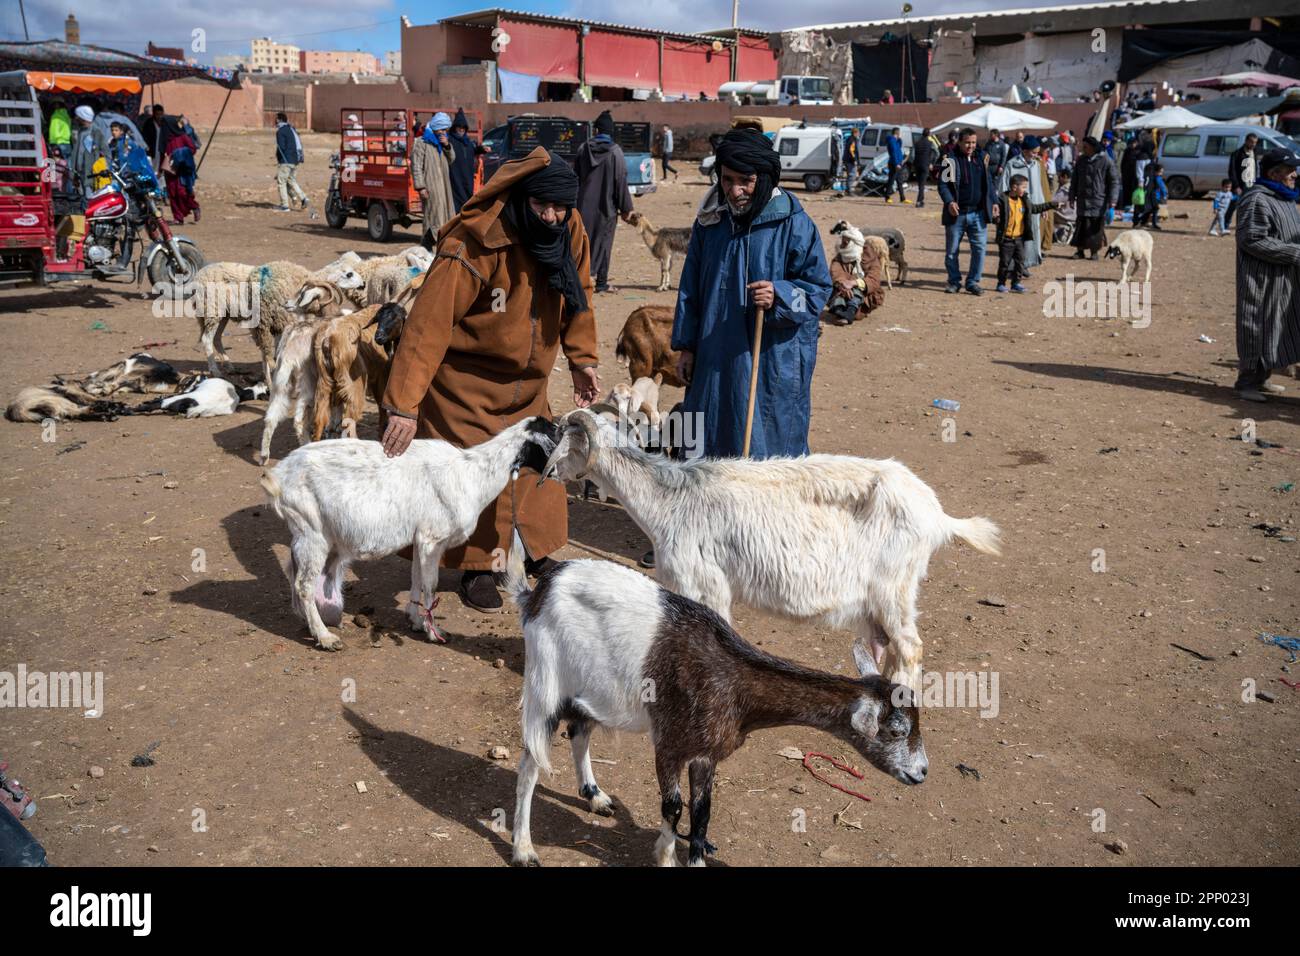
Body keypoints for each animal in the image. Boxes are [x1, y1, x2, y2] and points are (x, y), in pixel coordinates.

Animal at [261, 416, 561, 650]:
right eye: (556, 439)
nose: (559, 475)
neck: (472, 473)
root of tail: (277, 477)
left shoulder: (421, 540)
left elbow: (417, 578)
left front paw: (416, 622)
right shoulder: (432, 538)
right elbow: (430, 584)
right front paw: (433, 632)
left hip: (308, 533)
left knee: (293, 570)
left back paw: (309, 622)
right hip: (312, 531)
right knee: (304, 584)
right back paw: (325, 637)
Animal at [501, 546, 930, 868]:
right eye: (896, 731)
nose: (922, 772)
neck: (735, 684)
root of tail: (537, 591)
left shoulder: (707, 754)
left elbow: (703, 810)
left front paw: (696, 855)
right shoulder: (669, 745)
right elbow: (673, 806)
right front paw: (665, 856)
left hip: (589, 685)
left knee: (579, 730)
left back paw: (595, 796)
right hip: (545, 680)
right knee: (530, 763)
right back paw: (524, 848)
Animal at [538, 411, 1003, 697]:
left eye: (566, 440)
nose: (549, 470)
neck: (667, 500)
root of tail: (938, 515)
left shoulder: (703, 584)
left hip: (895, 587)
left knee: (909, 647)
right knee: (889, 646)